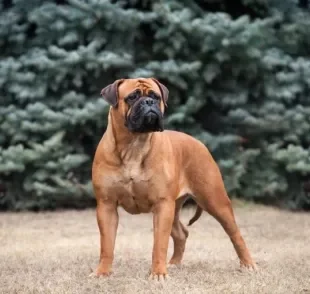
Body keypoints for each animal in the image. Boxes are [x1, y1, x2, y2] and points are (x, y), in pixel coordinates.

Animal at [91, 77, 256, 280]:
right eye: (132, 97)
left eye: (156, 96)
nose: (149, 102)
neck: (134, 146)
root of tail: (199, 143)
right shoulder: (106, 205)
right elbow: (106, 244)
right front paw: (102, 272)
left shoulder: (162, 205)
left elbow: (159, 244)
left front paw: (158, 274)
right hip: (176, 206)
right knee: (181, 233)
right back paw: (175, 263)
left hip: (215, 201)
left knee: (235, 234)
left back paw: (248, 264)